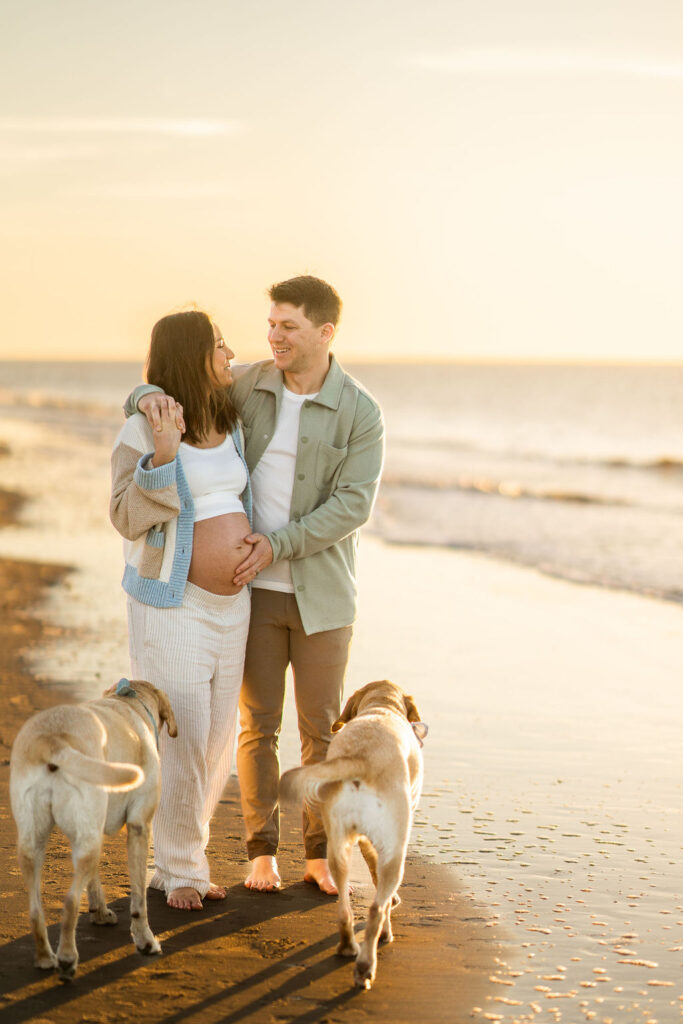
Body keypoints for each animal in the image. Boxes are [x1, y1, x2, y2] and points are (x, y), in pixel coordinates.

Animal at [9, 675, 176, 978]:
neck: (129, 702)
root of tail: (54, 740)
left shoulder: (90, 830)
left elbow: (94, 877)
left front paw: (99, 912)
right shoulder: (139, 827)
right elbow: (138, 901)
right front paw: (145, 940)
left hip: (36, 843)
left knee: (36, 909)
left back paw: (45, 957)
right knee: (69, 902)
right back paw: (66, 957)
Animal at [278, 679, 428, 991]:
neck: (381, 707)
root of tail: (360, 758)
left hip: (338, 846)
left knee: (344, 908)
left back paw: (348, 946)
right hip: (395, 852)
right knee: (375, 909)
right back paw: (368, 961)